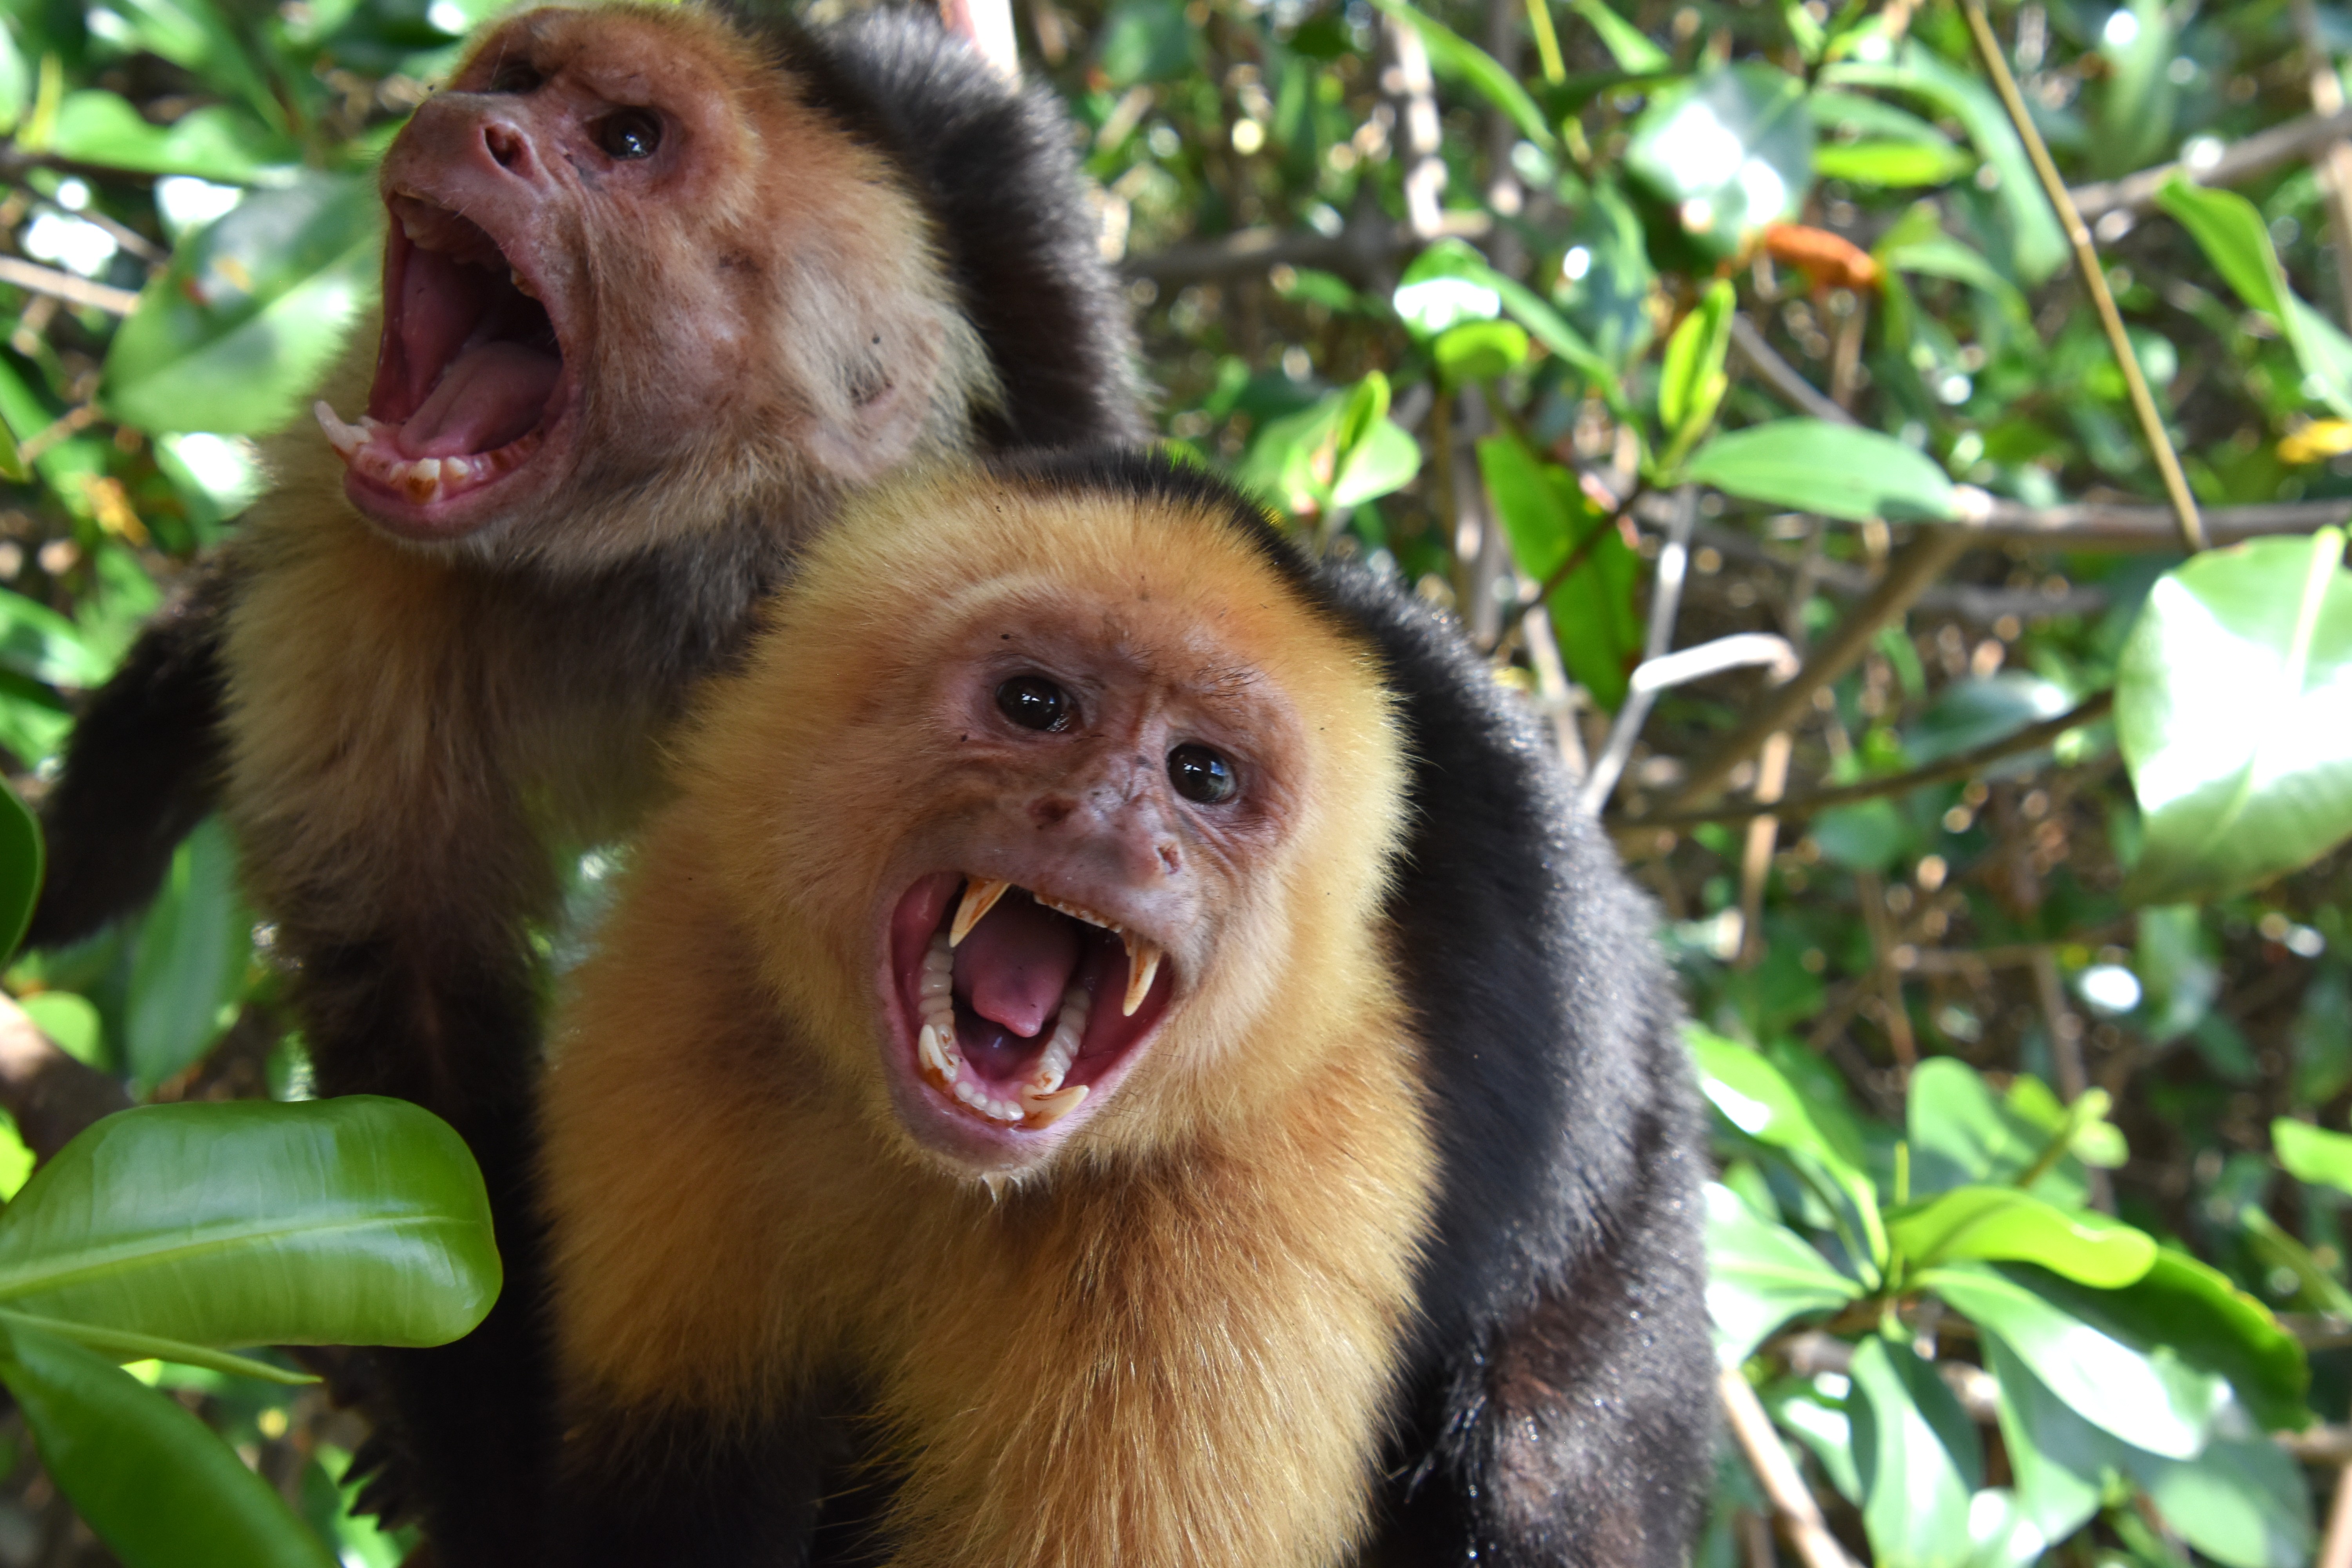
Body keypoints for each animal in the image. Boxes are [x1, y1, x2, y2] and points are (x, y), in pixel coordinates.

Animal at [24, 7, 1144, 1560]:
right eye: (513, 82)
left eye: (625, 140)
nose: (474, 127)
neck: (668, 550)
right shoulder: (367, 564)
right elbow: (420, 1052)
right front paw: (490, 1488)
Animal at [538, 450, 1713, 1568]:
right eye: (1034, 705)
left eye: (1203, 775)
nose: (1112, 822)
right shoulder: (696, 961)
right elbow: (669, 1490)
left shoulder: (1266, 1183)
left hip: (1628, 1215)